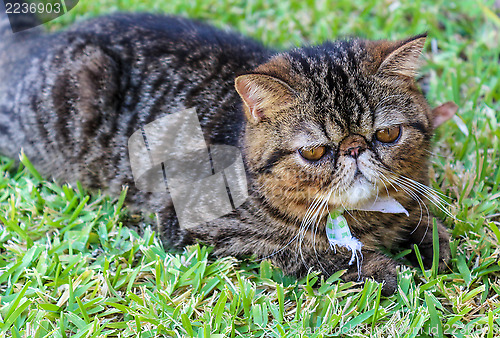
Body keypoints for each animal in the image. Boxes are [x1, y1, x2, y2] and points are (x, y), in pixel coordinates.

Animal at [0, 5, 456, 296]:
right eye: (314, 153)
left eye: (388, 134)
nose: (356, 150)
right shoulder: (201, 228)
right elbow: (308, 253)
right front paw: (383, 269)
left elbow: (423, 223)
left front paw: (432, 244)